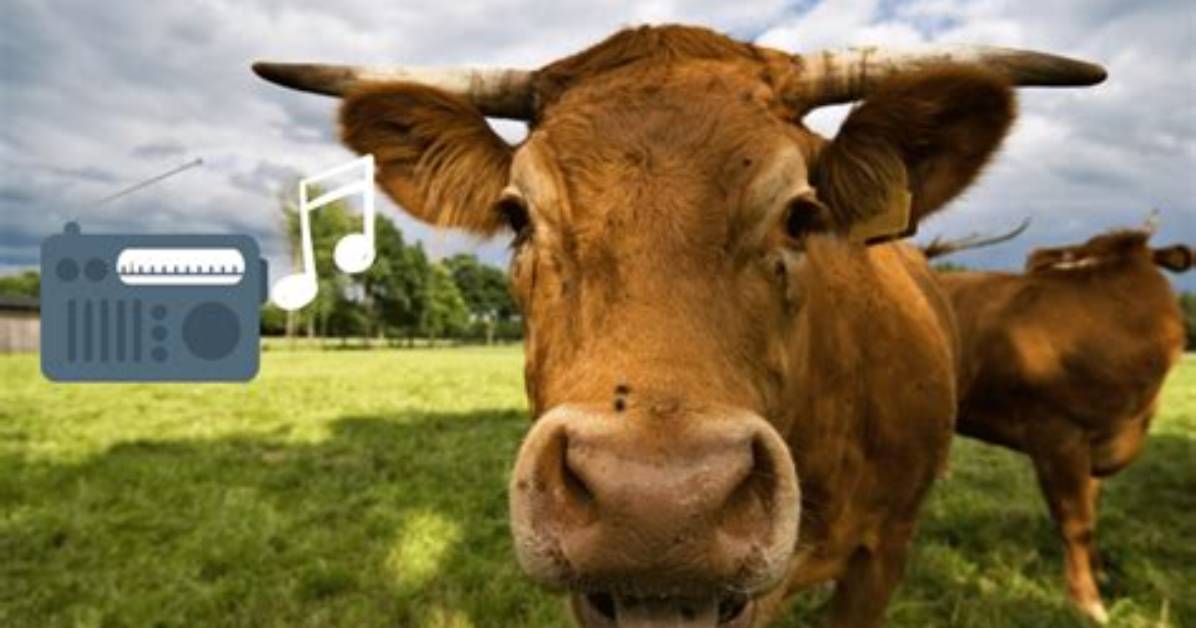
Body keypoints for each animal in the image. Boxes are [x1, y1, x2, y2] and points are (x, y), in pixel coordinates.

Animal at [927, 224, 1192, 622]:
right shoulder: (1057, 436)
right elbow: (1075, 522)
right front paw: (1087, 602)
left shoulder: (1097, 447)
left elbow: (1092, 512)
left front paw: (1099, 573)